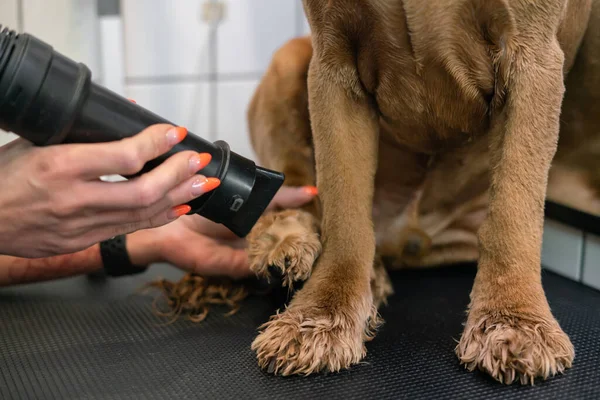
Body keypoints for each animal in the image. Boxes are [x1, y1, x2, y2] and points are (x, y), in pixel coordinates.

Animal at [241, 0, 596, 386]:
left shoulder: (531, 57)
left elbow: (512, 209)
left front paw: (513, 322)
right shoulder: (332, 61)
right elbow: (344, 212)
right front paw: (320, 316)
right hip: (289, 58)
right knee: (298, 185)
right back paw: (287, 244)